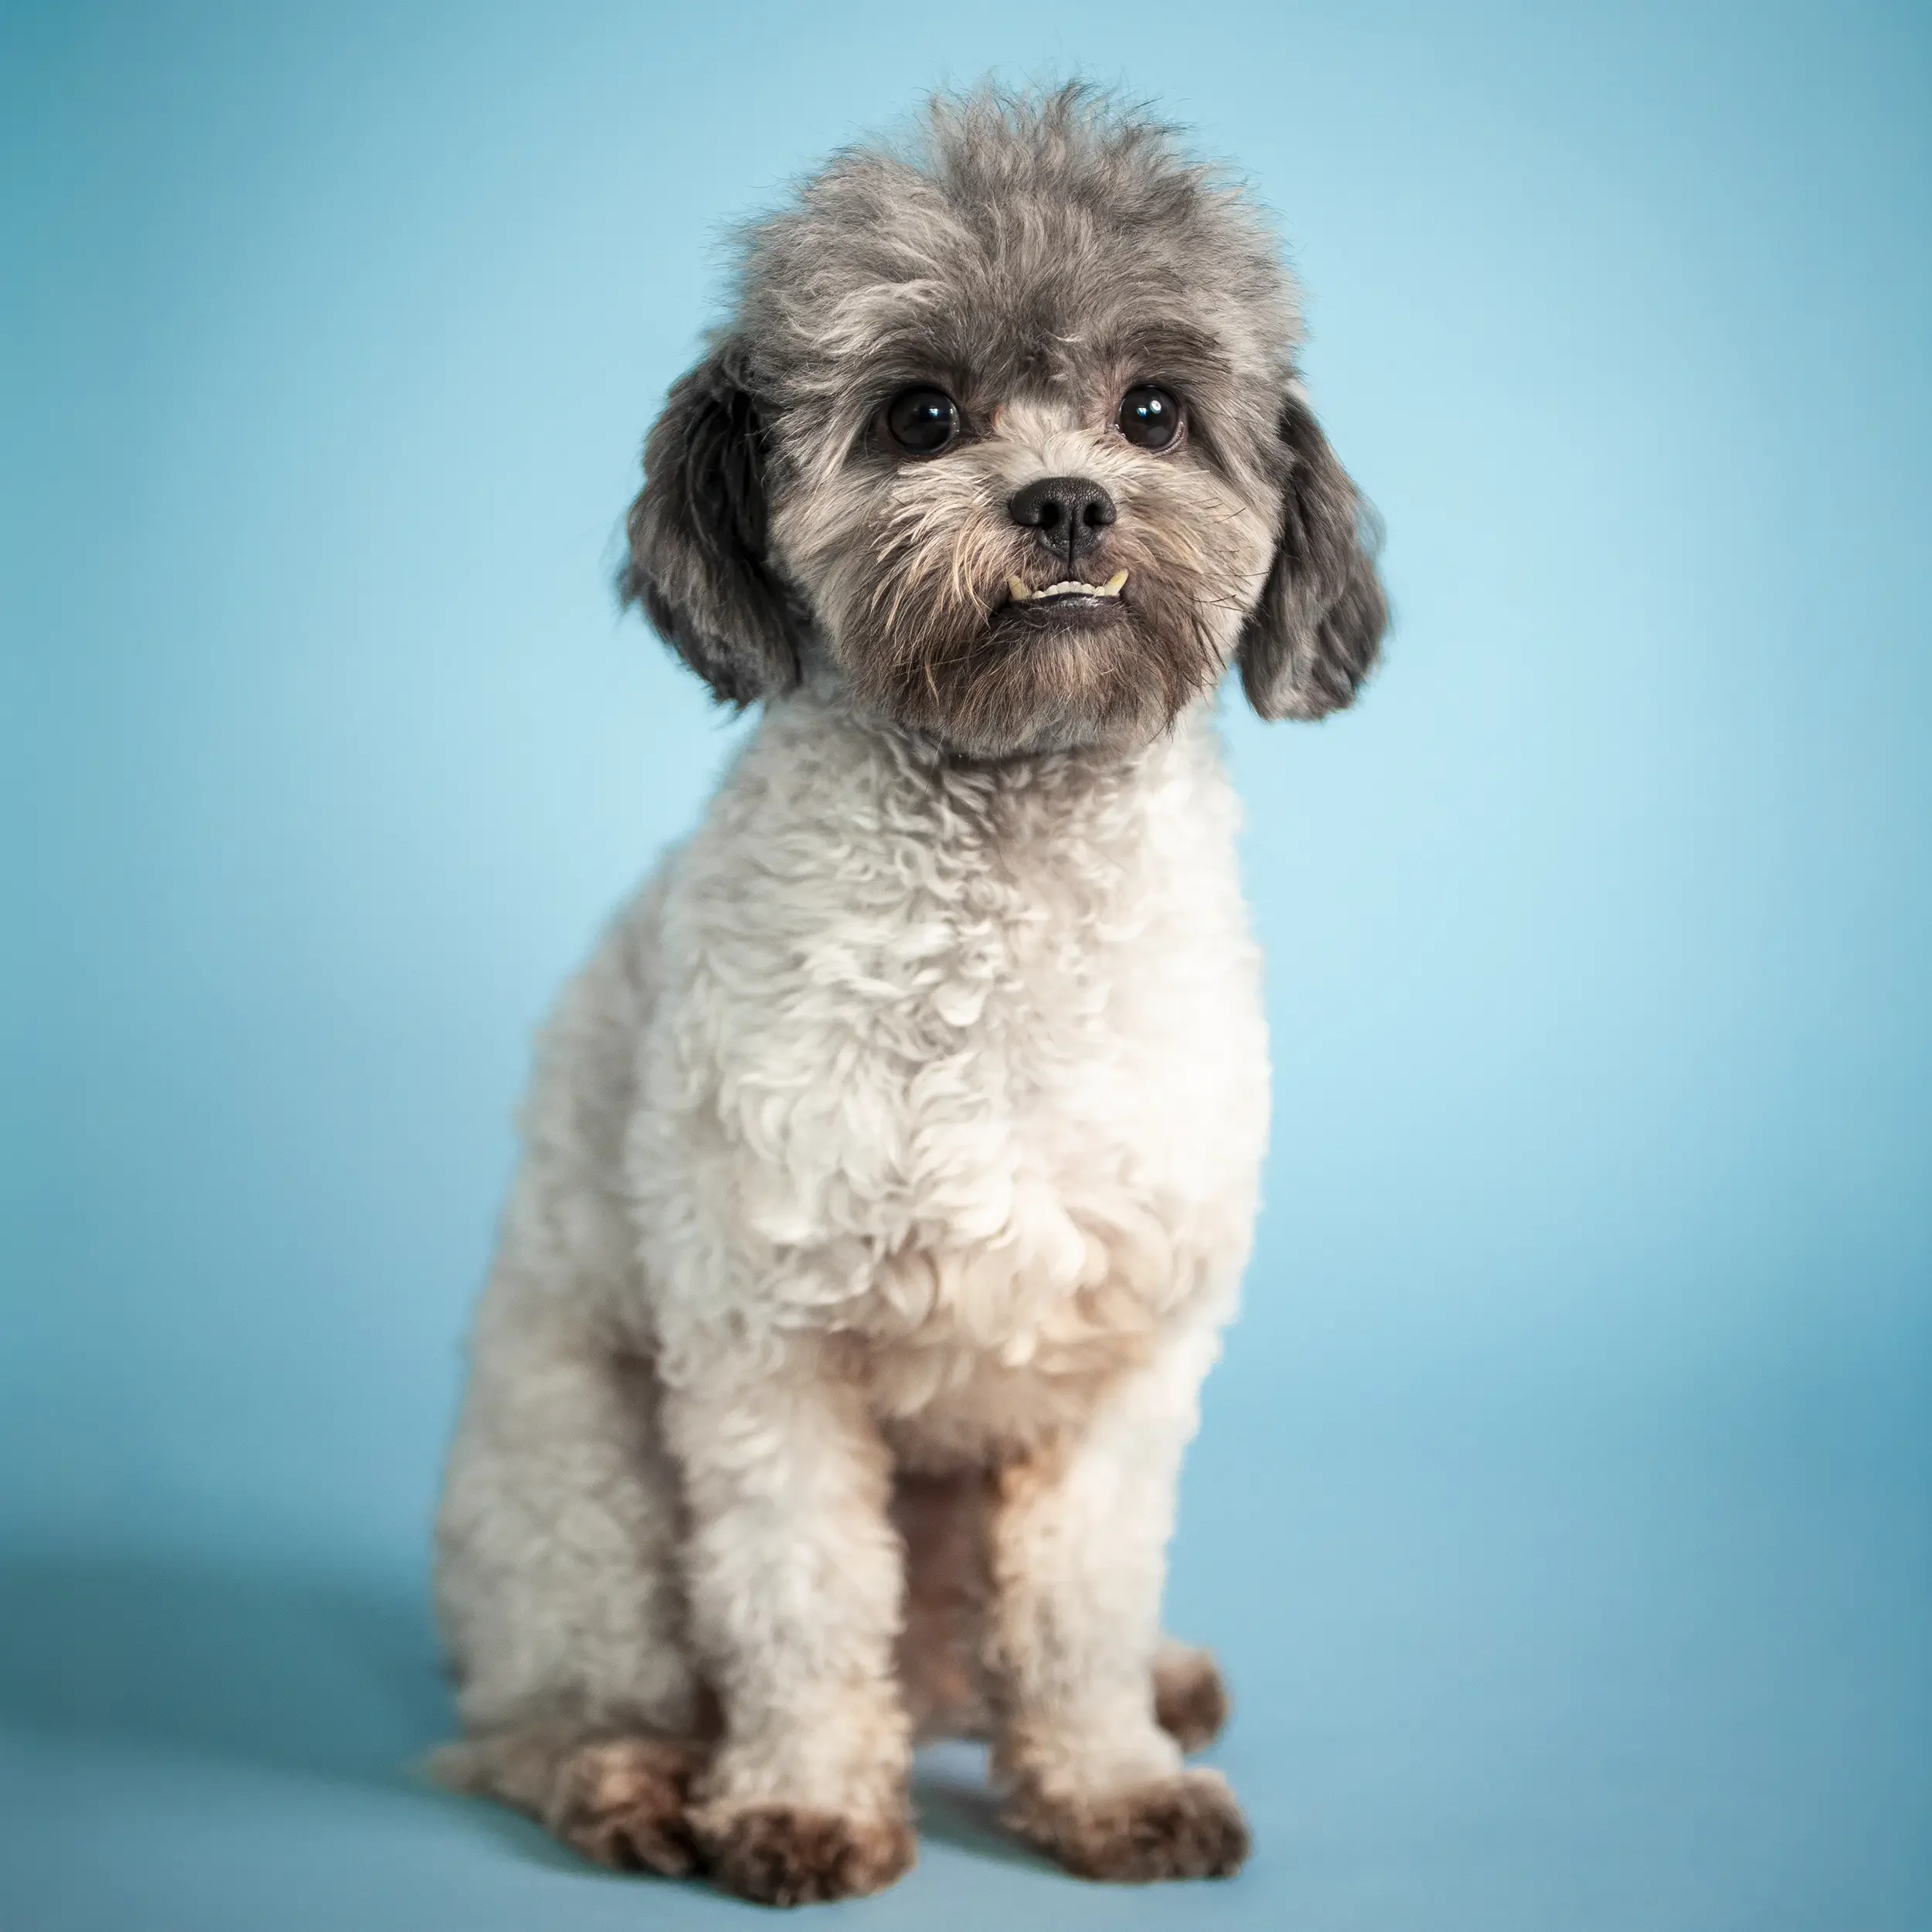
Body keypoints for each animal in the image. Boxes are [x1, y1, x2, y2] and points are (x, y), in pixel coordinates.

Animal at [433, 83, 1385, 1907]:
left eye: (1152, 412)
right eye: (921, 414)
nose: (1069, 501)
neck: (1005, 873)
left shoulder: (1125, 1371)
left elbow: (1080, 1602)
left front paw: (1105, 1779)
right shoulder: (767, 1351)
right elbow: (801, 1600)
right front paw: (800, 1802)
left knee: (986, 1654)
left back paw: (1143, 1689)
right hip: (585, 1498)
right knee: (550, 1706)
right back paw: (630, 1775)